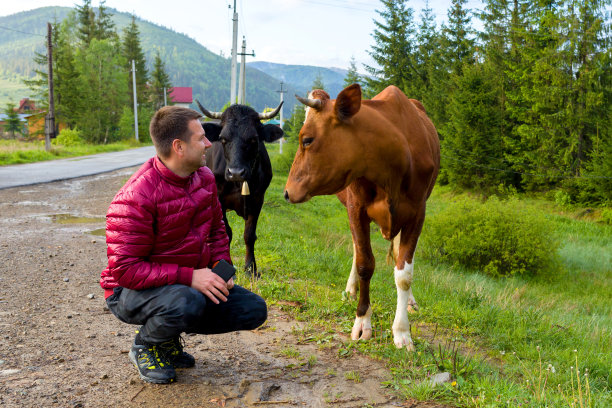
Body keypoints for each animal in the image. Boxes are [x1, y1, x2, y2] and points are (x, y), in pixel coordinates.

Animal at [196, 100, 284, 276]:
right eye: (223, 139)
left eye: (254, 139)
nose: (236, 172)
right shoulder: (219, 200)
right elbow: (226, 232)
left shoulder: (258, 200)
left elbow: (249, 235)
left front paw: (251, 268)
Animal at [284, 84, 438, 350]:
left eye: (307, 139)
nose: (287, 191)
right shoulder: (356, 209)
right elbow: (365, 264)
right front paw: (362, 323)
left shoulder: (418, 213)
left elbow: (404, 273)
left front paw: (402, 331)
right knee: (358, 252)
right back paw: (350, 290)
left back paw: (409, 301)